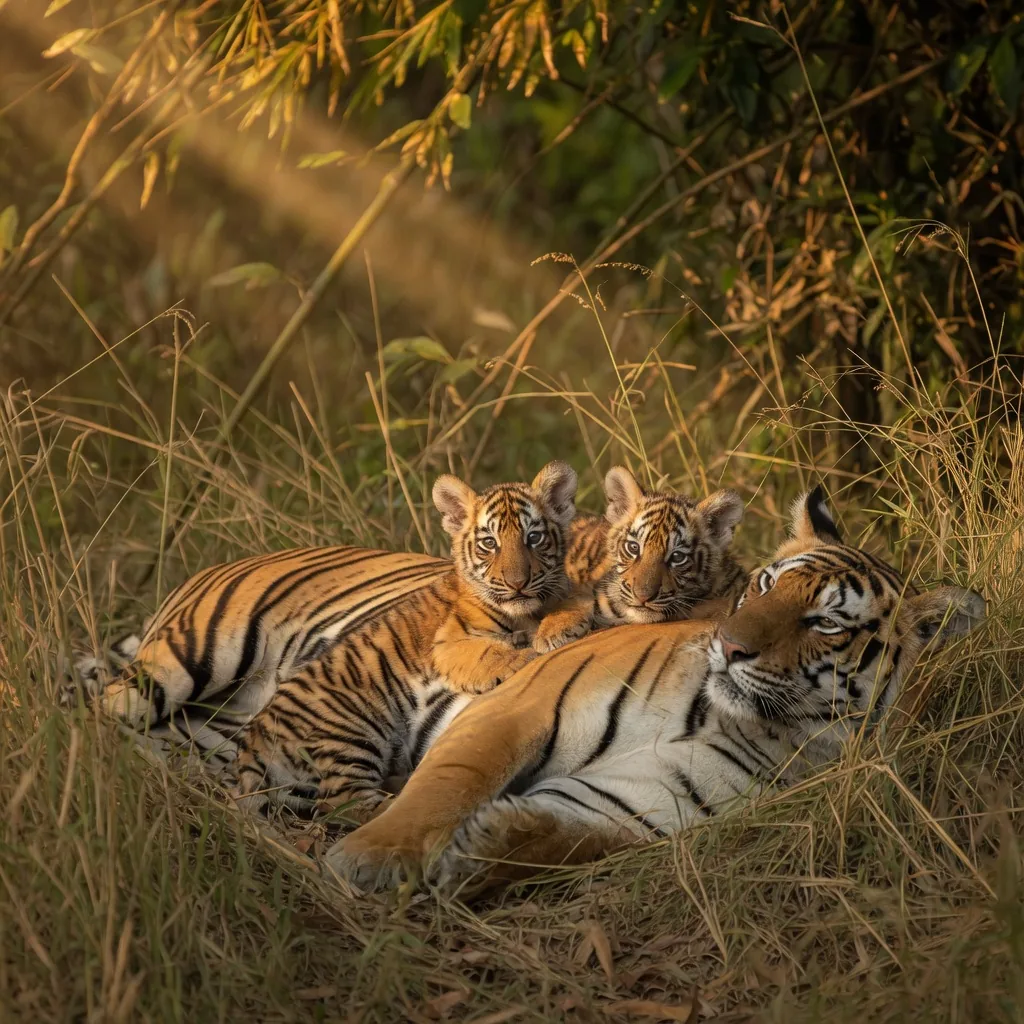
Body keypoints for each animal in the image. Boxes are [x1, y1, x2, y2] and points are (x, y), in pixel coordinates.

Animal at [226, 460, 580, 817]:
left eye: (533, 537)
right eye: (489, 543)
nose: (517, 583)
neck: (528, 612)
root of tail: (251, 743)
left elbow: (572, 599)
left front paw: (561, 628)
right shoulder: (449, 645)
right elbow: (493, 653)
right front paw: (528, 655)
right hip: (350, 729)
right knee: (345, 802)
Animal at [326, 486, 986, 896]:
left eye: (825, 623)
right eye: (766, 585)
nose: (729, 645)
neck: (726, 716)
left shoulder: (646, 799)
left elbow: (567, 839)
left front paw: (484, 846)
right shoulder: (517, 707)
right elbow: (446, 785)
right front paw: (370, 858)